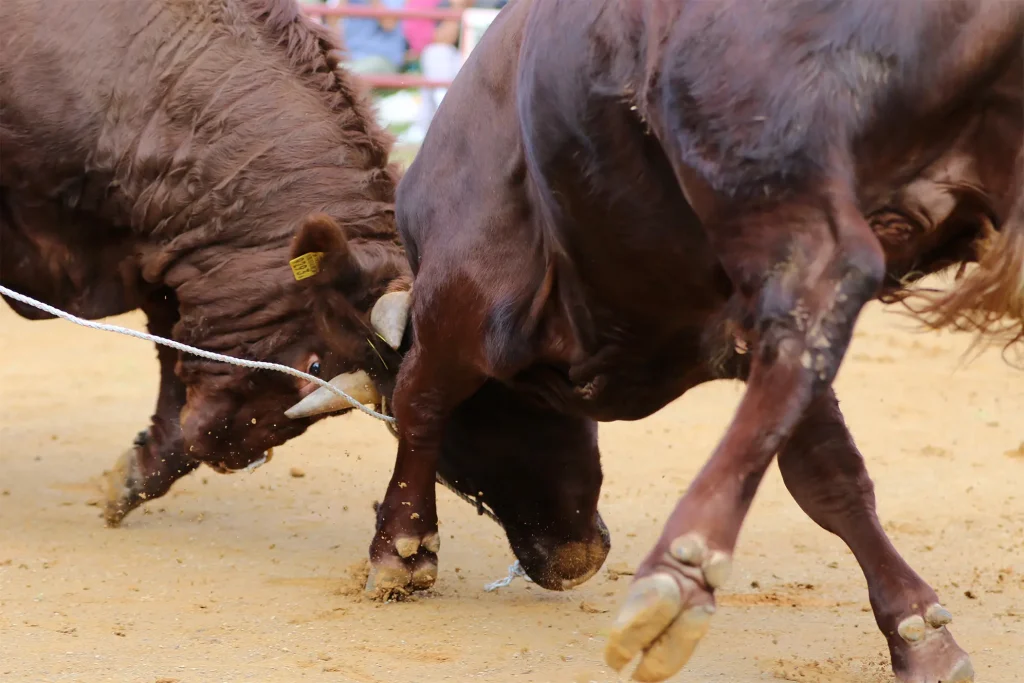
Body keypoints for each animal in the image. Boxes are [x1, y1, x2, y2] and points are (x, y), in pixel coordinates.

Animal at [290, 0, 1024, 679]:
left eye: (462, 457)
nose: (569, 562)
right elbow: (828, 475)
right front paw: (916, 632)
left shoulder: (459, 292)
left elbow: (420, 399)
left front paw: (401, 548)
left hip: (750, 152)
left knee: (824, 271)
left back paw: (679, 569)